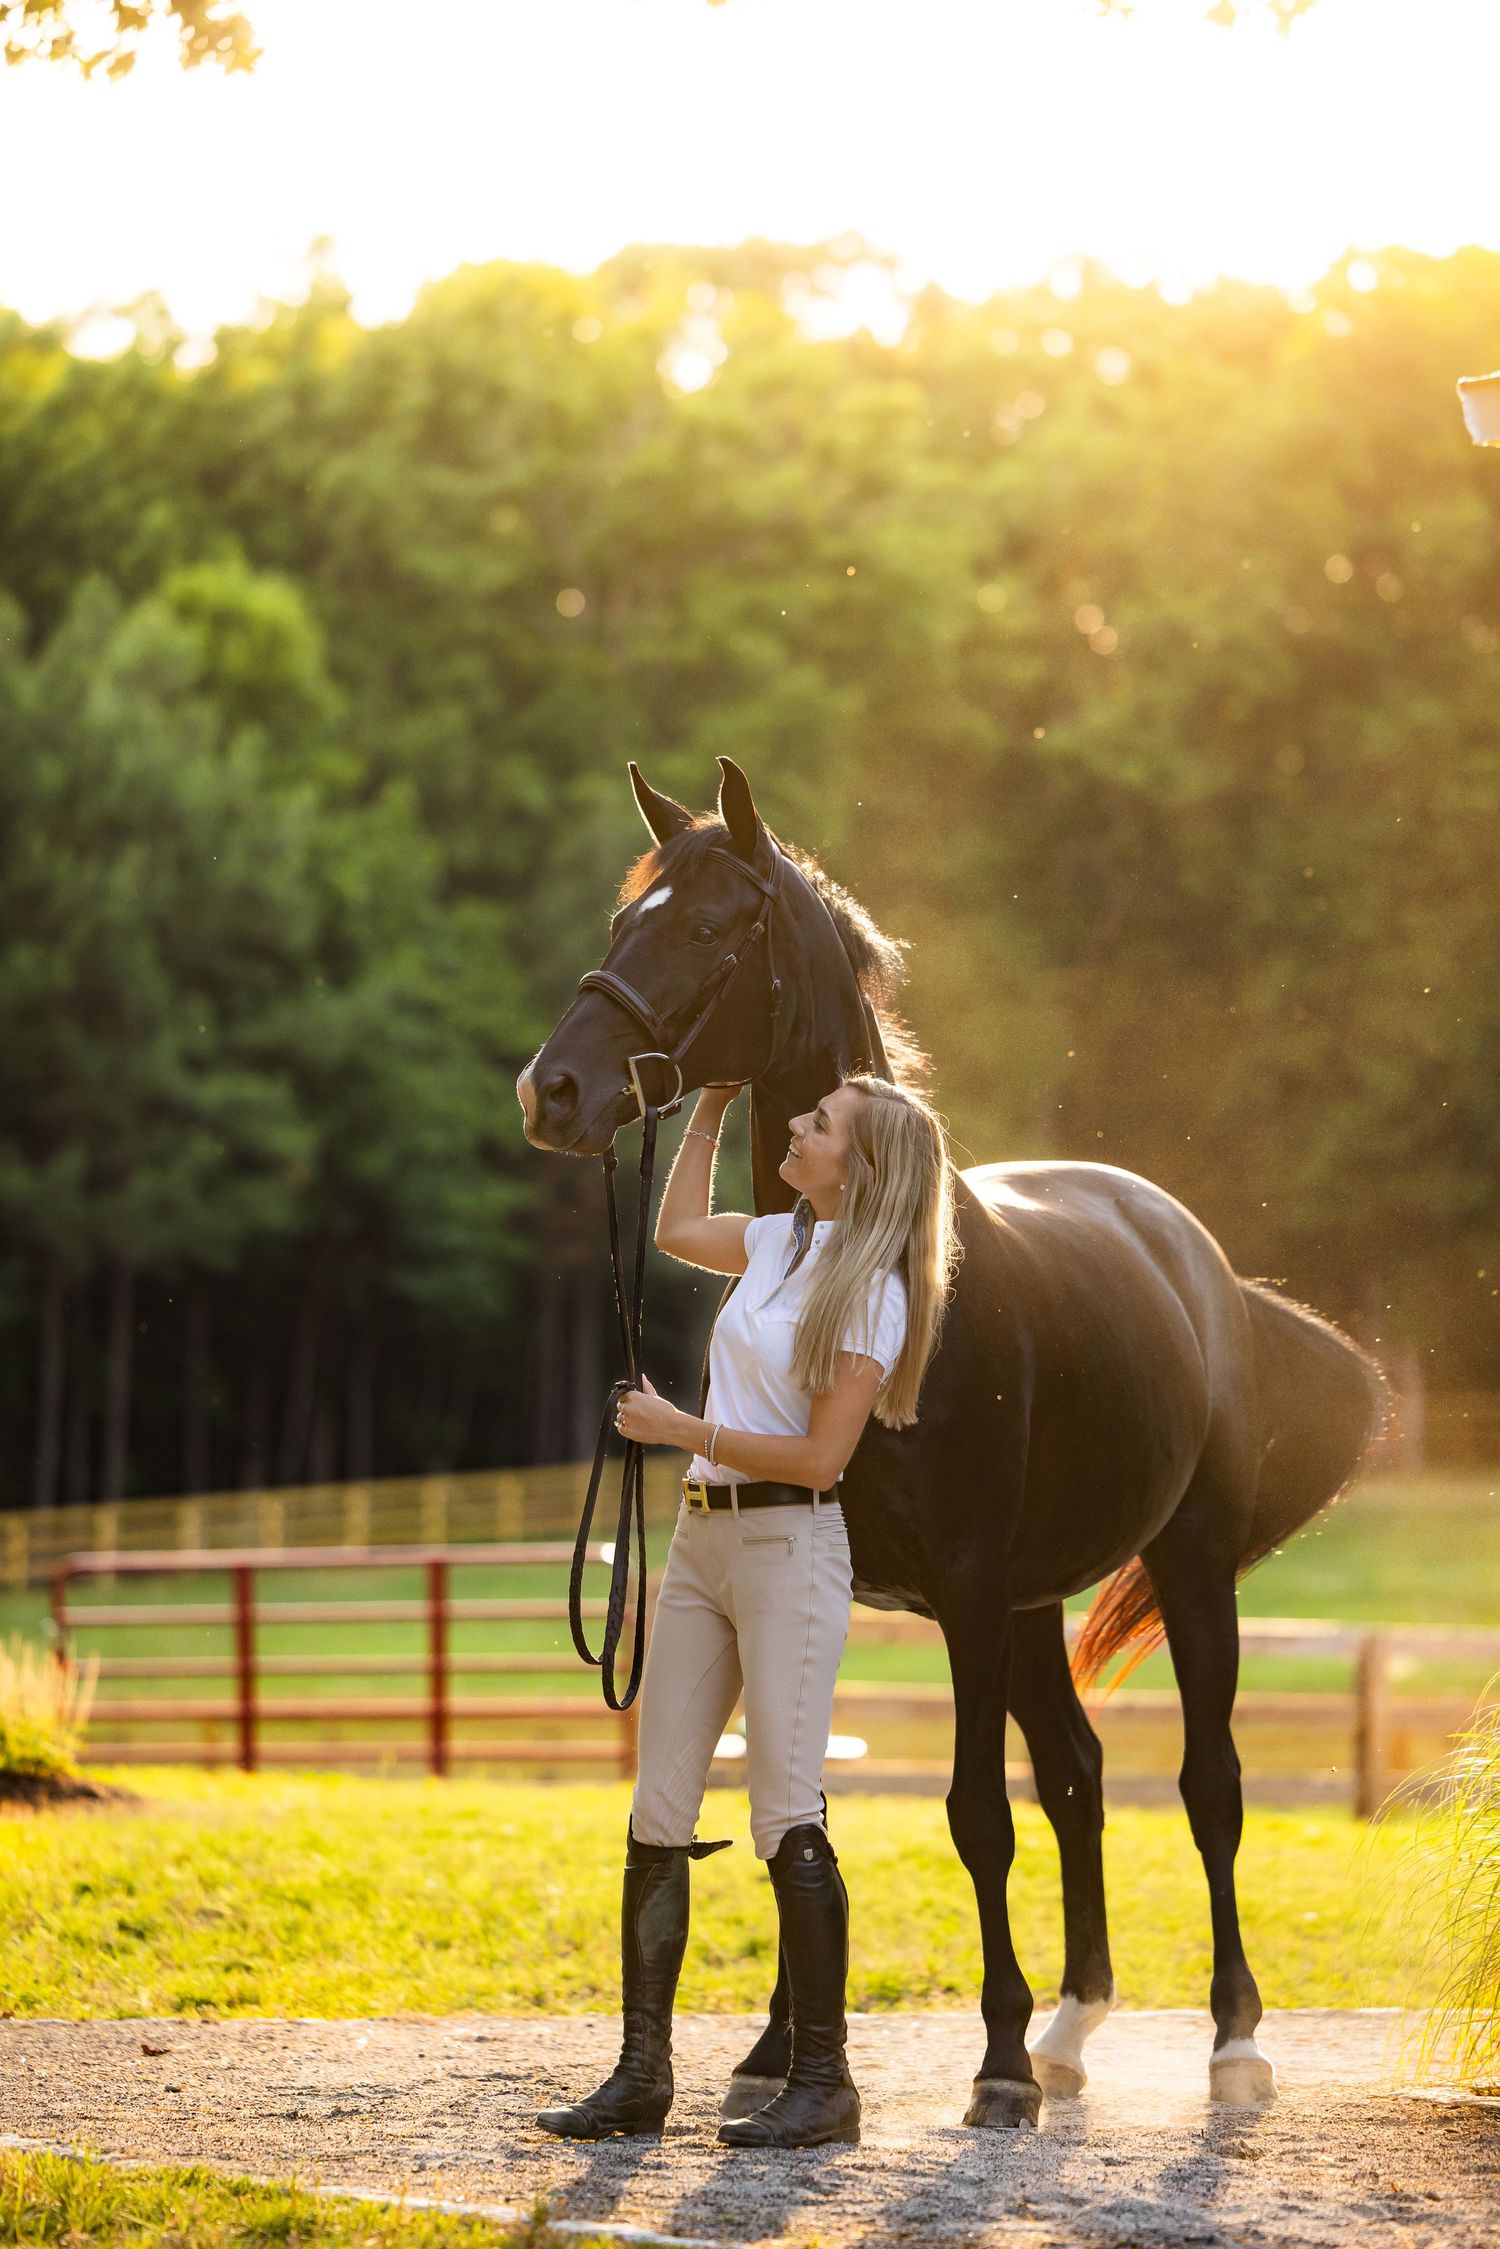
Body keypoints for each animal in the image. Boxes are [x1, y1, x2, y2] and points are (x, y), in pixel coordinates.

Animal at [517, 755, 1387, 2128]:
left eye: (708, 927)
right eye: (621, 923)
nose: (552, 1091)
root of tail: (1199, 1260)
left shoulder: (970, 1593)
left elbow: (977, 1812)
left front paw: (996, 2063)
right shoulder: (884, 1591)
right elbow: (802, 1801)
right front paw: (778, 2049)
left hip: (1182, 1571)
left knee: (1207, 1784)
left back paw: (1229, 2043)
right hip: (1036, 1604)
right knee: (1081, 1773)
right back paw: (1077, 2024)